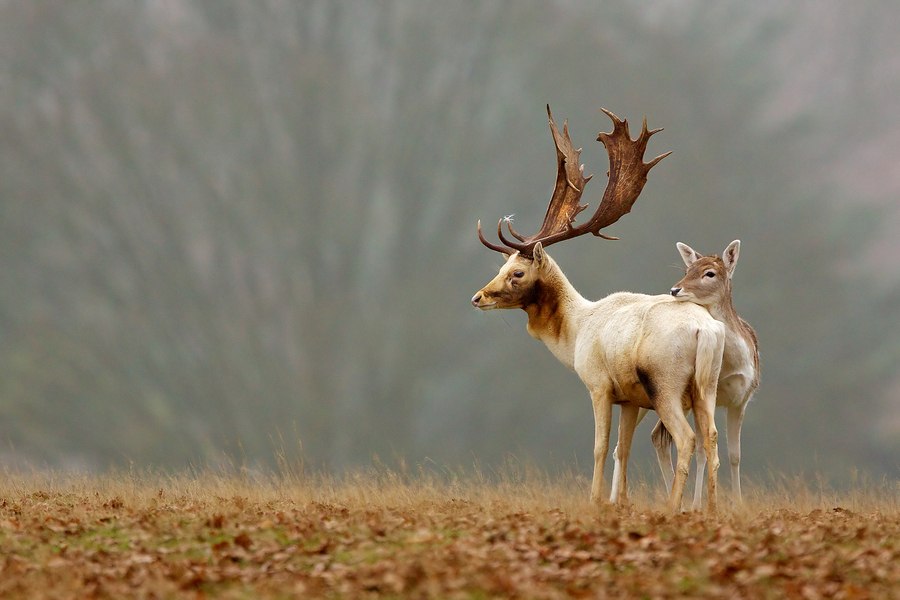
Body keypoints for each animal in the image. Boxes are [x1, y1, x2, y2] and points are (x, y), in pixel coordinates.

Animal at [472, 106, 724, 510]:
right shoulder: (630, 398)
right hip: (708, 385)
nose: (478, 297)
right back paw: (712, 509)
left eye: (517, 272)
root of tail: (705, 330)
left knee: (686, 438)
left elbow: (600, 448)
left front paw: (594, 500)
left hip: (666, 383)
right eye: (500, 266)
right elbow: (624, 448)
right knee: (712, 439)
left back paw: (672, 507)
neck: (575, 333)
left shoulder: (599, 384)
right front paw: (619, 502)